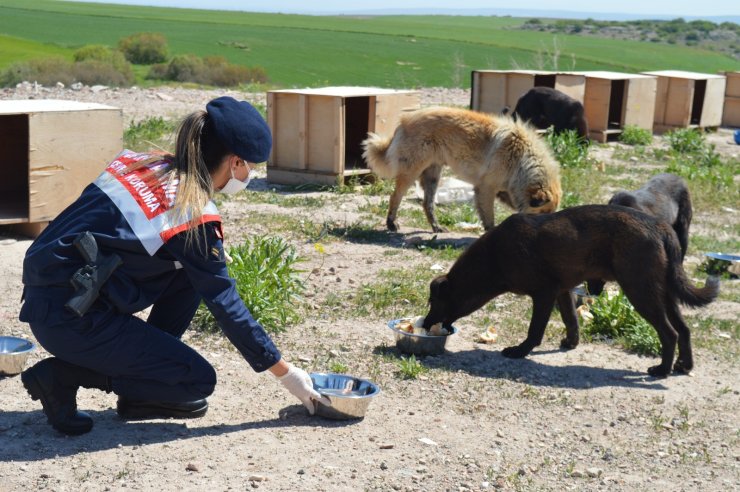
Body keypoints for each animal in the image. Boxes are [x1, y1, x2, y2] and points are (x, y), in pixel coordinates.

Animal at [360, 106, 560, 233]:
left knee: (427, 203)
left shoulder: (505, 189)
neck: (522, 160)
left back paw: (436, 227)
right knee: (395, 197)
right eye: (542, 214)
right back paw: (391, 224)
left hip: (433, 175)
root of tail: (404, 120)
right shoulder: (486, 188)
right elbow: (489, 217)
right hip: (412, 172)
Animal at [424, 204, 720, 376]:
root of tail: (660, 227)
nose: (425, 324)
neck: (493, 257)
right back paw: (683, 365)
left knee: (669, 333)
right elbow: (571, 319)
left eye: (433, 303)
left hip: (640, 290)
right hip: (664, 292)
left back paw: (661, 370)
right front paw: (570, 343)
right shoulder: (562, 291)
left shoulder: (543, 294)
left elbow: (535, 330)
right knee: (684, 329)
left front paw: (520, 351)